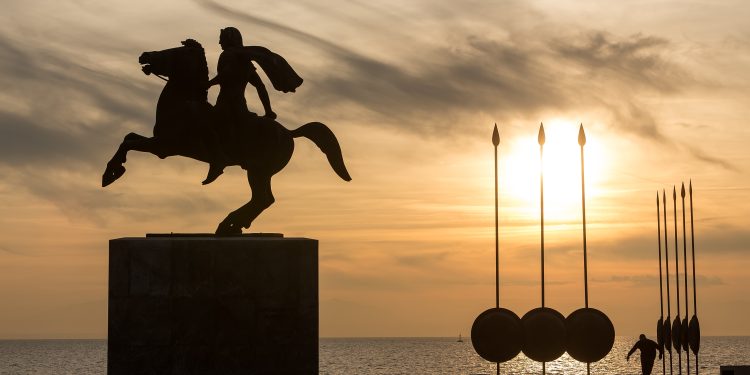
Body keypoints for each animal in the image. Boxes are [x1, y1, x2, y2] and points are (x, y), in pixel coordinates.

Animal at [100, 39, 356, 236]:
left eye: (173, 51)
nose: (144, 55)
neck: (180, 103)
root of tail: (289, 132)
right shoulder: (159, 143)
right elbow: (128, 137)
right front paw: (111, 172)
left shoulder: (164, 146)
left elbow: (129, 142)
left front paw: (111, 174)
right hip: (260, 171)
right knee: (265, 199)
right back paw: (233, 225)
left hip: (258, 170)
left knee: (262, 199)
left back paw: (228, 223)